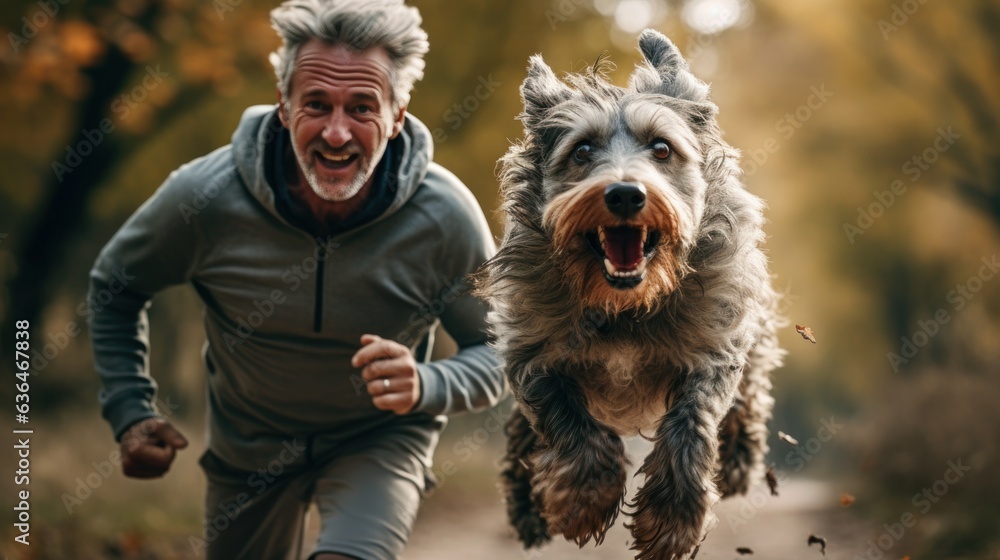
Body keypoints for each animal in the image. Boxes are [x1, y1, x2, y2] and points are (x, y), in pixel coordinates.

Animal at [480, 30, 784, 560]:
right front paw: (586, 501)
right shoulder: (533, 352)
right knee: (522, 438)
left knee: (749, 401)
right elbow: (567, 424)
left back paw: (739, 461)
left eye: (661, 148)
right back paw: (526, 509)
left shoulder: (712, 350)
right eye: (582, 151)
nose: (625, 193)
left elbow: (691, 427)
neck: (624, 306)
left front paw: (671, 523)